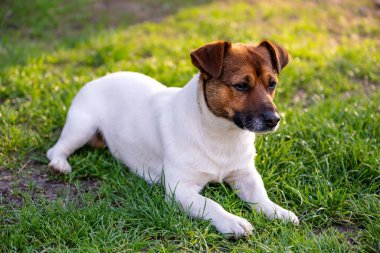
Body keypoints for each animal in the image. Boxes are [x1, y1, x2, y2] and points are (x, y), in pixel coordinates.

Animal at [47, 40, 298, 237]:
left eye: (272, 84)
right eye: (241, 85)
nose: (274, 119)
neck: (221, 133)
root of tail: (100, 78)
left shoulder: (245, 175)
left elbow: (260, 196)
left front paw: (278, 211)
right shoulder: (180, 189)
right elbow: (211, 204)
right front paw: (231, 221)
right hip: (82, 127)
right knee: (55, 149)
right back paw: (60, 164)